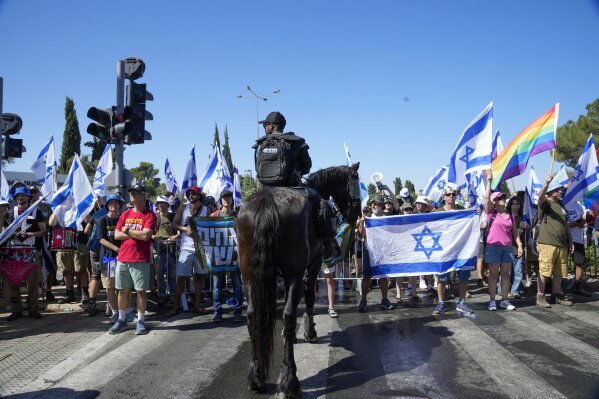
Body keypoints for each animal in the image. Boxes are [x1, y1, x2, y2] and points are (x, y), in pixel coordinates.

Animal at [238, 164, 360, 398]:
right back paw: (289, 380)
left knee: (252, 315)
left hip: (249, 276)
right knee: (287, 316)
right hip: (294, 273)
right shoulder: (313, 264)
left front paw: (293, 337)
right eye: (355, 183)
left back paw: (255, 376)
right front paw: (309, 332)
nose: (355, 215)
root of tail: (267, 200)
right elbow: (310, 297)